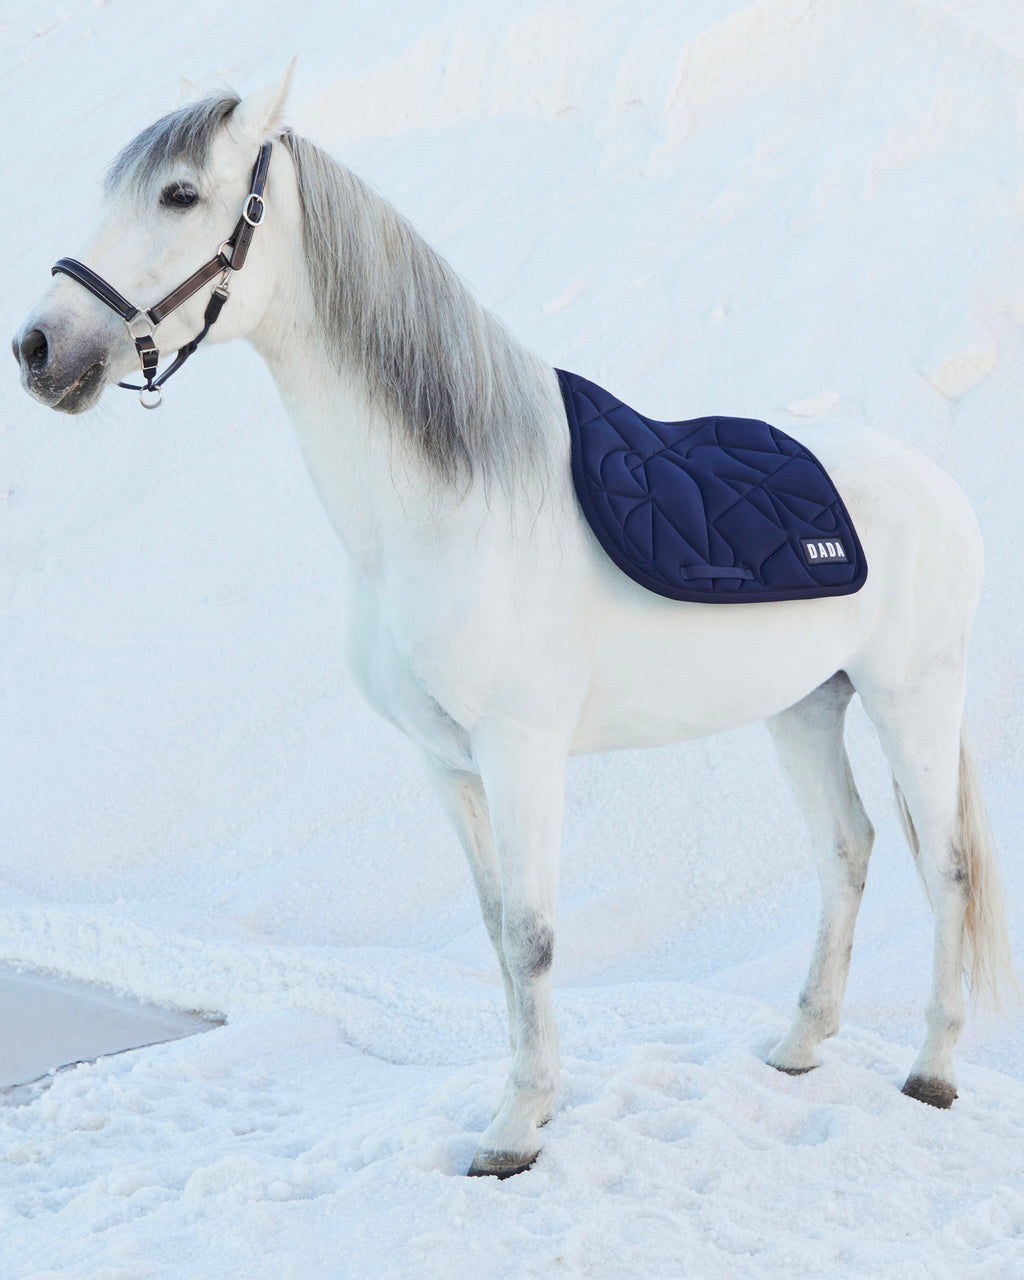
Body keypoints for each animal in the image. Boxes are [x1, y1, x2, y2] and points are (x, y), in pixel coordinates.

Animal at [13, 68, 1014, 1179]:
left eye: (181, 193)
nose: (40, 346)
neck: (444, 508)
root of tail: (936, 486)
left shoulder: (521, 752)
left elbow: (534, 934)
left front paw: (514, 1129)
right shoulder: (444, 762)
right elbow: (497, 930)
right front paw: (522, 1104)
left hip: (911, 700)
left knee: (946, 868)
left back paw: (932, 1069)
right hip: (804, 708)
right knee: (846, 850)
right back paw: (798, 1044)